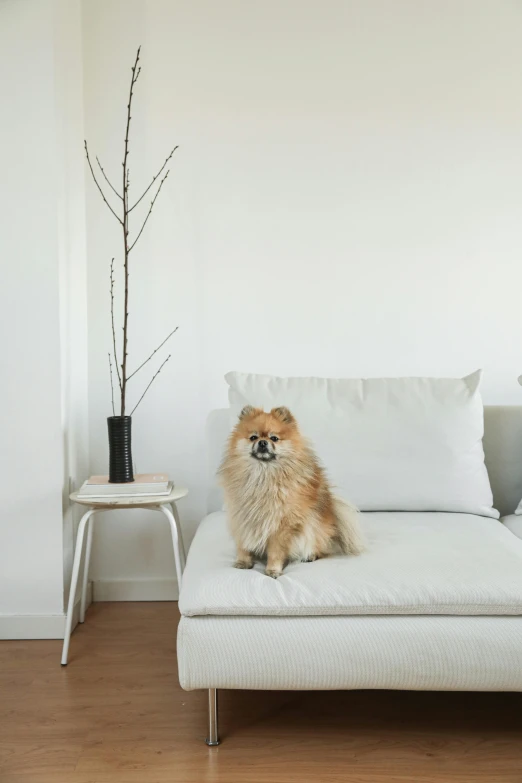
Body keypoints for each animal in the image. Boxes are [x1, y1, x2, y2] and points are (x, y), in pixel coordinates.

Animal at [217, 408, 364, 580]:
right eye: (253, 437)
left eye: (274, 438)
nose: (262, 442)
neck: (263, 475)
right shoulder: (241, 517)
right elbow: (243, 544)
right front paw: (243, 561)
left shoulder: (282, 525)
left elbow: (275, 551)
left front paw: (273, 570)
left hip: (314, 529)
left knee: (321, 548)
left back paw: (310, 555)